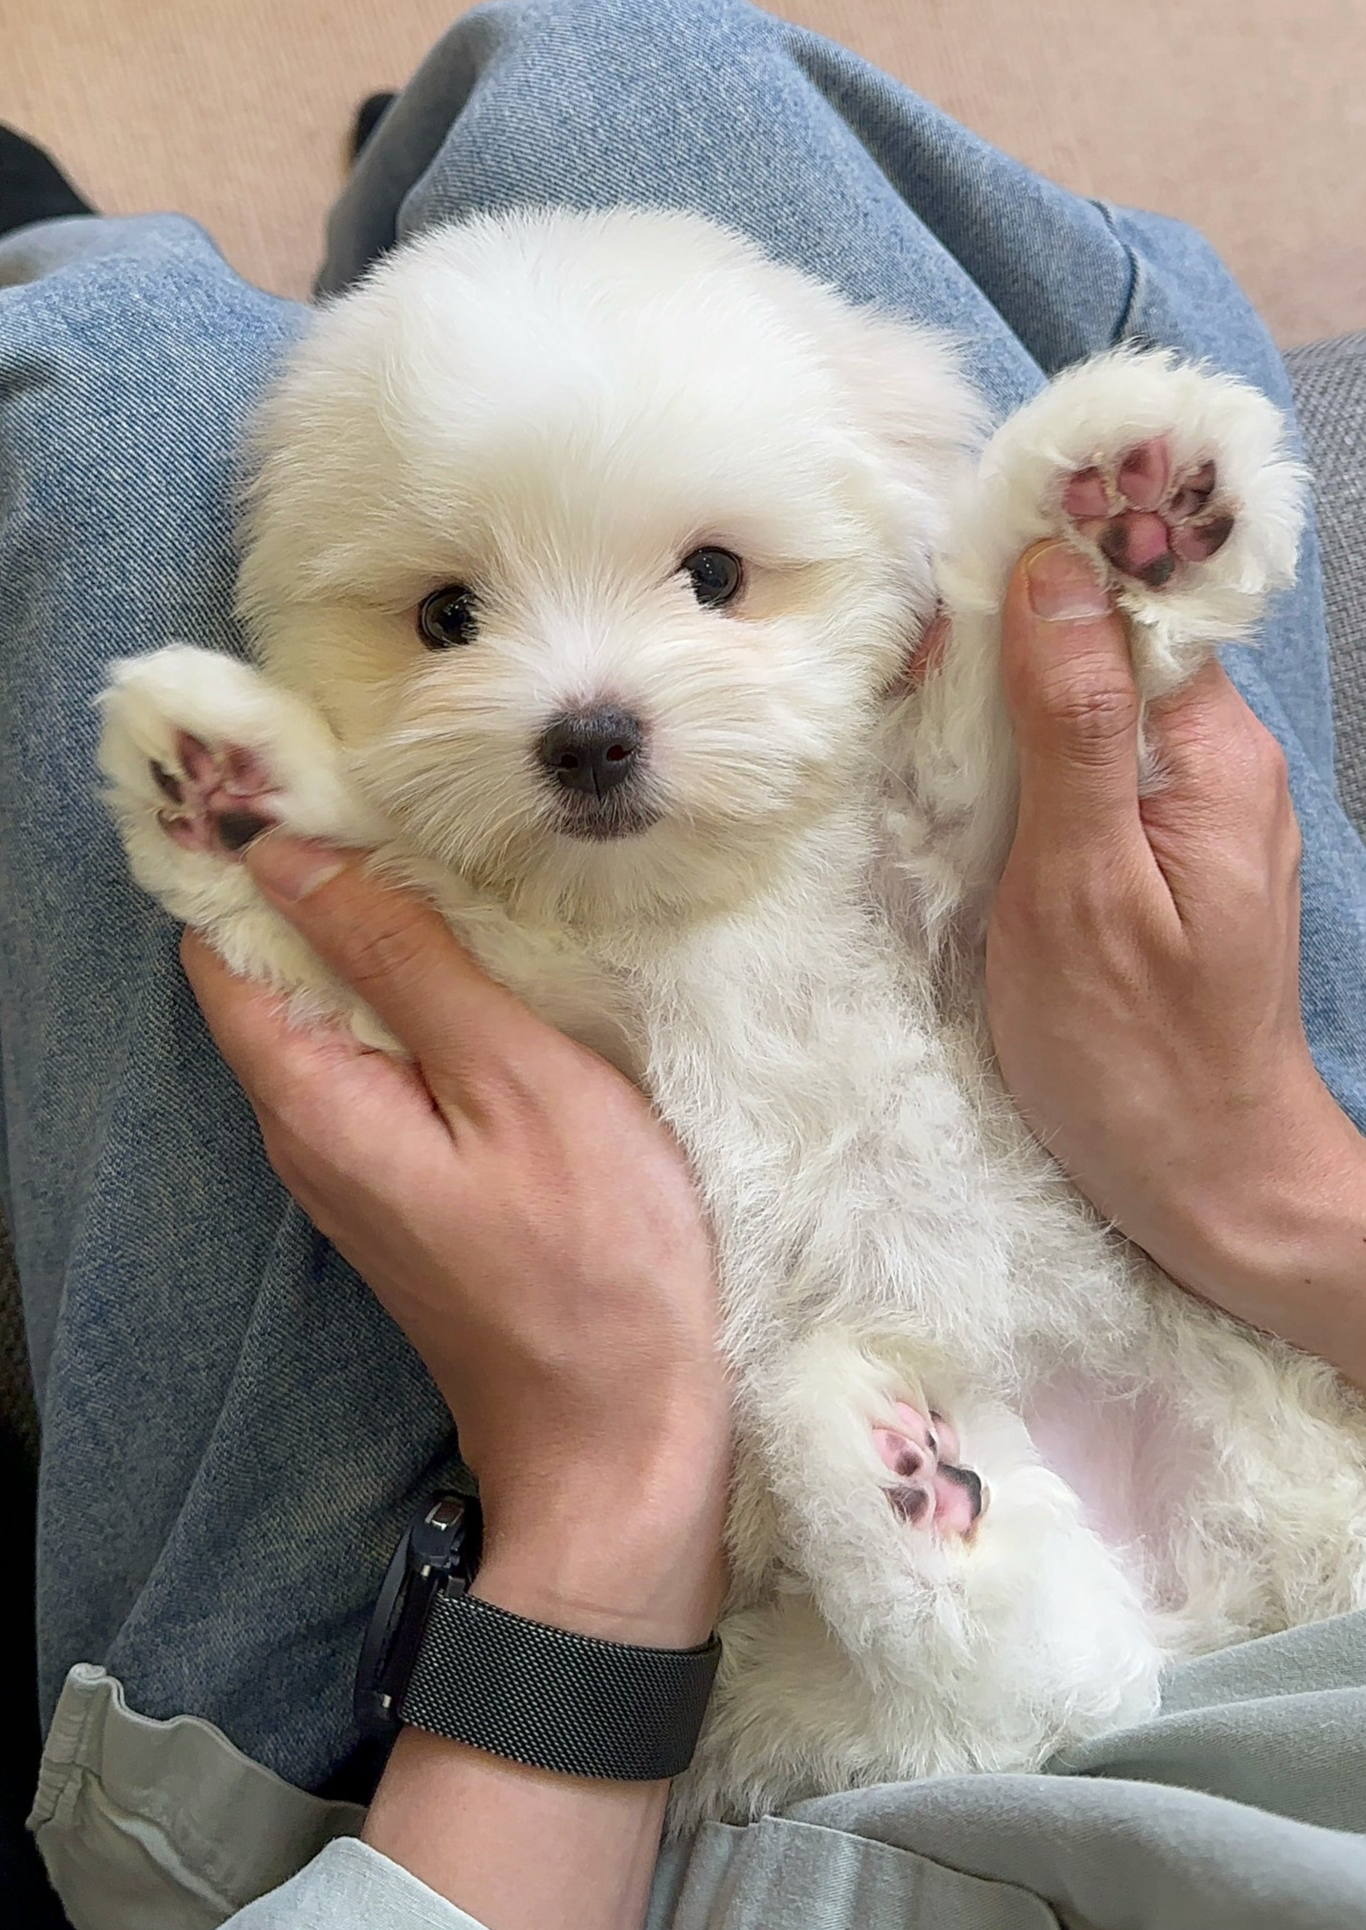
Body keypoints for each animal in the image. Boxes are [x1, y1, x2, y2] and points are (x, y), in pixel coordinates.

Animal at [95, 211, 1366, 1821]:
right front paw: (231, 793)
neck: (695, 908)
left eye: (713, 575)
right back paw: (897, 1478)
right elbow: (361, 909)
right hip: (851, 1663)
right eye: (447, 615)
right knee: (1024, 1687)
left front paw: (1122, 503)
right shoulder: (534, 1001)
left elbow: (996, 724)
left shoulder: (957, 893)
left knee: (1055, 1691)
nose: (587, 733)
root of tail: (1234, 1586)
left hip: (1225, 1401)